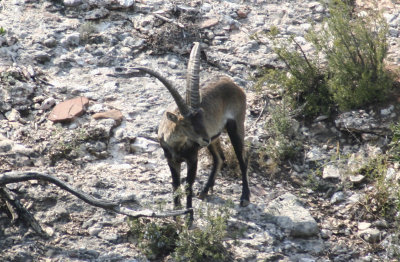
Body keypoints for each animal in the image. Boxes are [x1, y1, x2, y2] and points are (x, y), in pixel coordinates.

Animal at [133, 42, 248, 219]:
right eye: (185, 123)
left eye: (201, 115)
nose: (204, 138)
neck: (177, 145)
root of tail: (235, 86)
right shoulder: (171, 159)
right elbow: (175, 183)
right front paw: (176, 213)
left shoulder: (192, 158)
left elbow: (188, 185)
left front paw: (189, 217)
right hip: (214, 138)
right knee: (219, 158)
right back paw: (205, 191)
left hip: (235, 125)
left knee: (242, 159)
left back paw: (244, 198)